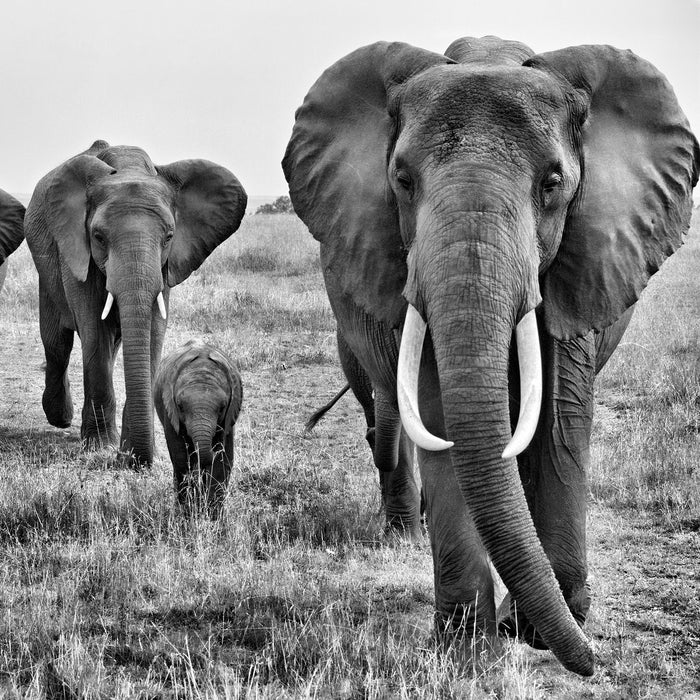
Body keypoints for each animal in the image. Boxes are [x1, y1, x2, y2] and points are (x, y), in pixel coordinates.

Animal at [24, 139, 247, 468]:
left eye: (169, 236)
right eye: (98, 236)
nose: (132, 460)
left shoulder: (165, 267)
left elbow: (153, 332)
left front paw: (134, 452)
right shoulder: (77, 253)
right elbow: (94, 331)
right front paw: (101, 447)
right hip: (46, 269)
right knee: (57, 343)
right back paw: (60, 419)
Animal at [152, 336, 241, 516]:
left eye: (222, 407)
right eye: (180, 406)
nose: (212, 449)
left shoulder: (229, 418)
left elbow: (223, 461)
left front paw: (213, 516)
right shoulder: (170, 413)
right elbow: (181, 458)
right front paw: (188, 514)